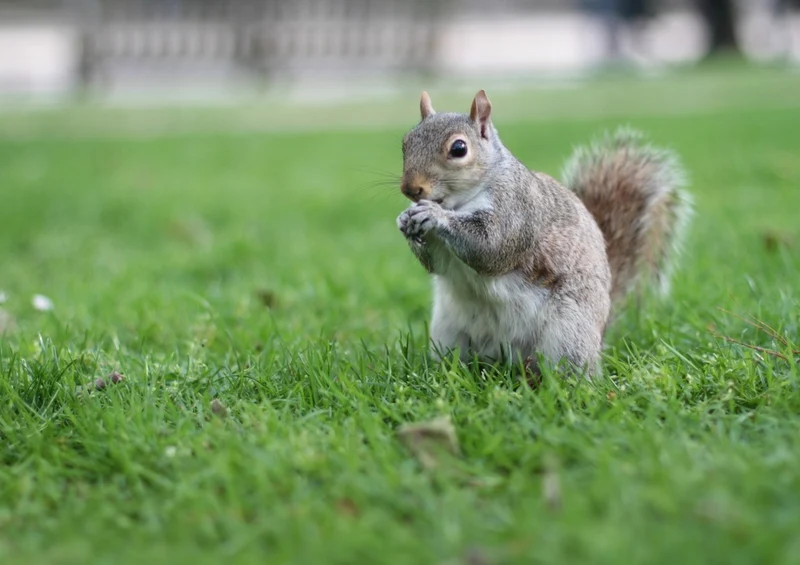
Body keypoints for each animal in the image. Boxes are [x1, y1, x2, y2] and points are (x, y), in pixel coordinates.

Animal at [396, 90, 692, 378]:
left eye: (459, 148)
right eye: (405, 142)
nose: (410, 189)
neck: (459, 202)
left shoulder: (518, 211)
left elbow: (490, 247)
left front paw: (435, 216)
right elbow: (436, 264)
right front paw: (405, 219)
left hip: (568, 334)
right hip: (448, 332)